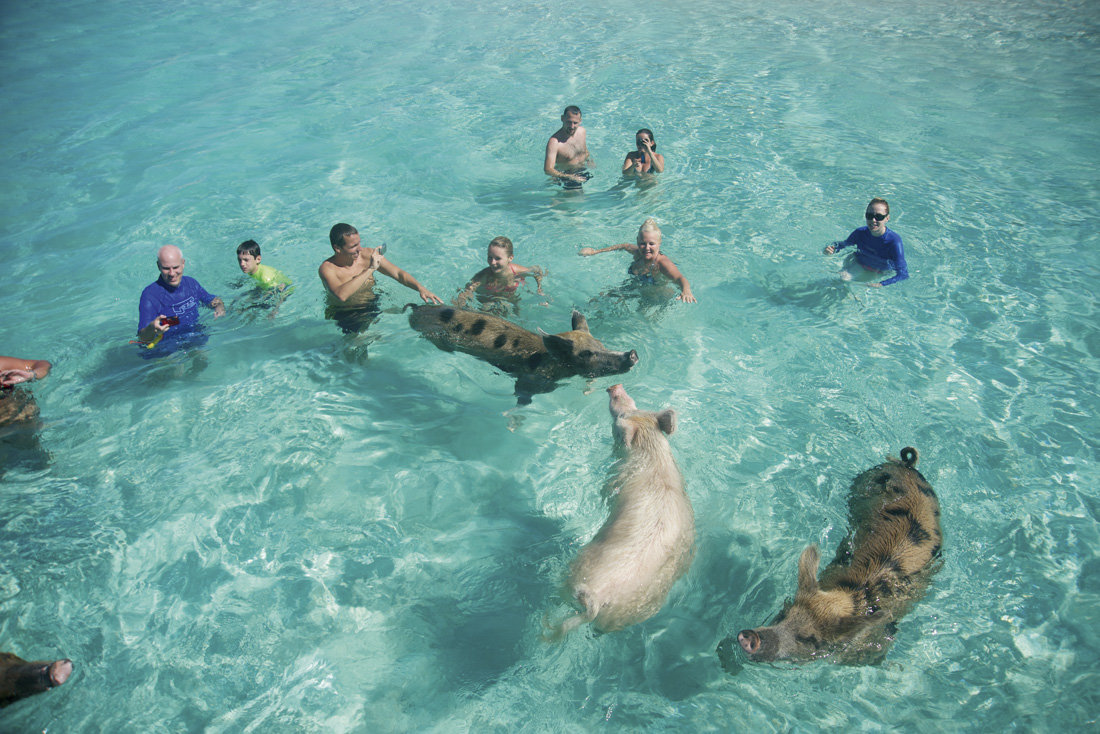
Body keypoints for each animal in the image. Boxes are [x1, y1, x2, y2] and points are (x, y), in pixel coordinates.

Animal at [545, 382, 690, 638]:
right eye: (637, 407)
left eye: (619, 420)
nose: (615, 387)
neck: (651, 454)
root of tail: (597, 596)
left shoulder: (614, 480)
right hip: (628, 614)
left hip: (572, 572)